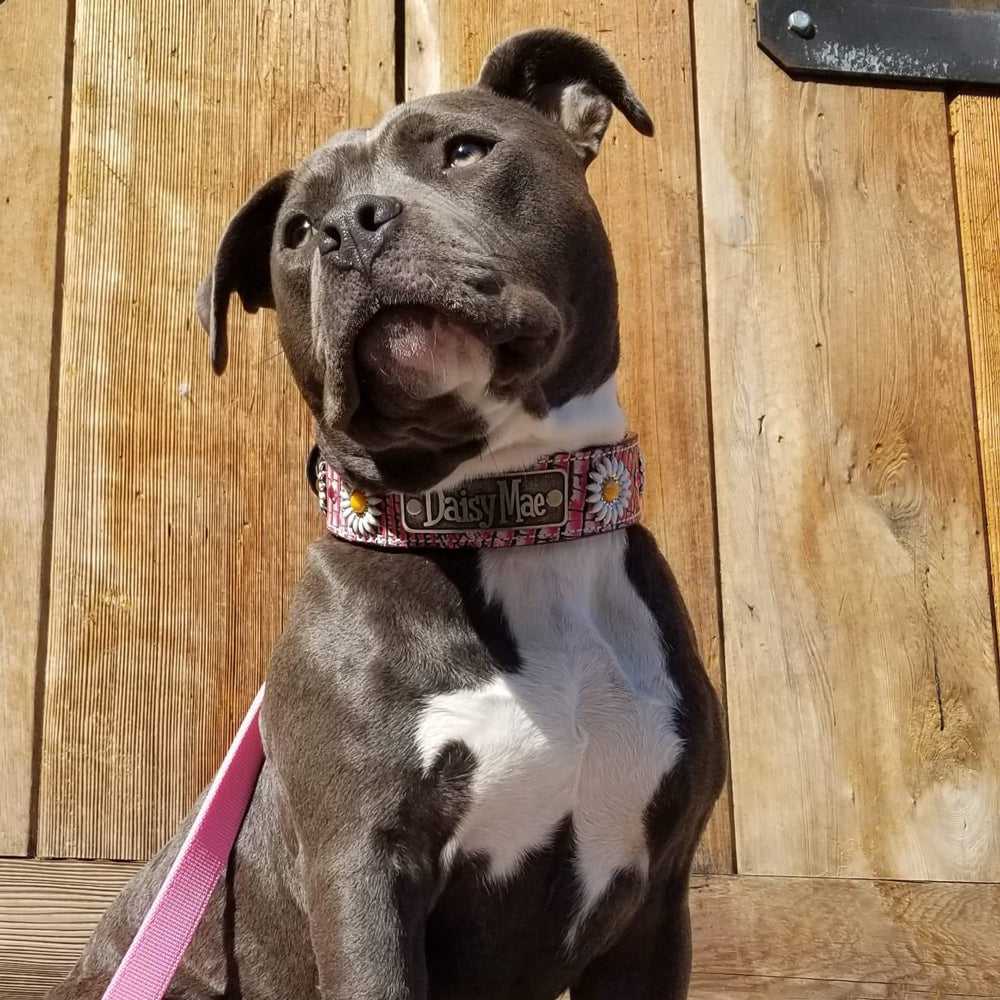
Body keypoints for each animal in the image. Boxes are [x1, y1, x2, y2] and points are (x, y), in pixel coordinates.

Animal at [50, 29, 728, 1000]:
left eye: (464, 150)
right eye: (296, 231)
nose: (350, 225)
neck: (507, 519)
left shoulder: (655, 896)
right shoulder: (360, 866)